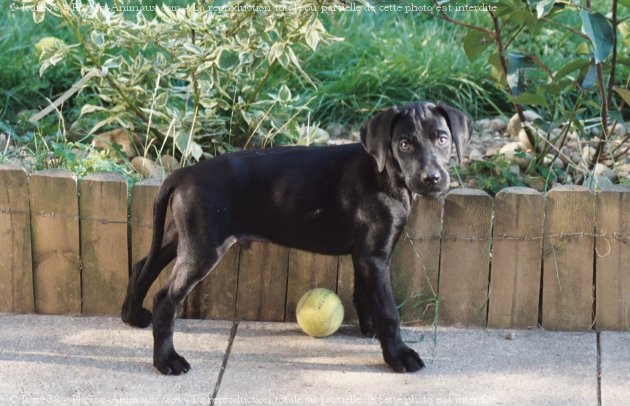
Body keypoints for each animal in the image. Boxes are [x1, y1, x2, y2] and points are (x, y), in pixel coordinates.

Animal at [122, 101, 474, 374]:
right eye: (404, 144)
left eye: (442, 139)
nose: (432, 178)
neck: (384, 174)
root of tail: (184, 173)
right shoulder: (375, 255)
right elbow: (389, 309)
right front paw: (398, 355)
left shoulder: (365, 254)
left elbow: (365, 294)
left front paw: (370, 330)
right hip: (203, 248)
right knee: (166, 298)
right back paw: (166, 361)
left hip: (185, 236)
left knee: (143, 264)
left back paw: (131, 315)